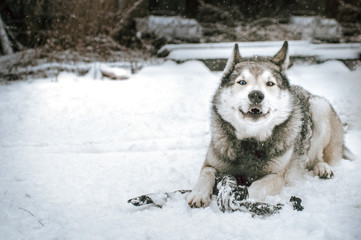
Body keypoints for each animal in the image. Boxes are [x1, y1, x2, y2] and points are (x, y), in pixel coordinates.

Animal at [187, 41, 344, 208]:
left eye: (270, 83)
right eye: (242, 82)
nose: (256, 95)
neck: (250, 141)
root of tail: (305, 91)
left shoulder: (276, 176)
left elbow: (258, 185)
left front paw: (247, 199)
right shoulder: (210, 164)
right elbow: (207, 174)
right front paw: (198, 193)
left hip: (319, 107)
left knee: (318, 157)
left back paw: (322, 167)